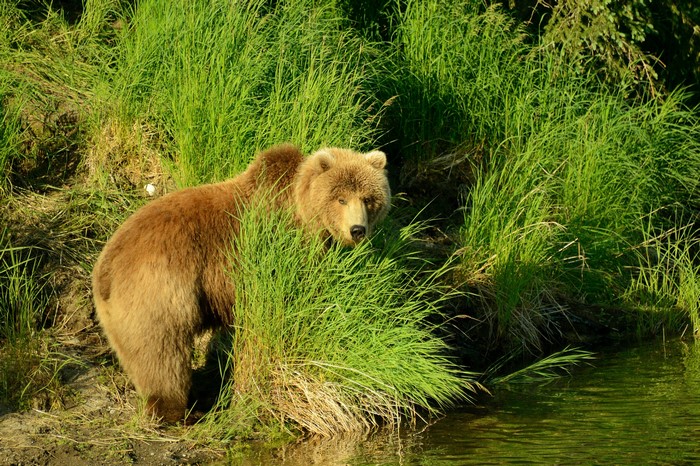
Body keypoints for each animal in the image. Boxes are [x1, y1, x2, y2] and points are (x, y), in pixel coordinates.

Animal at [92, 144, 390, 423]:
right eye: (341, 199)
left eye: (368, 198)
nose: (357, 230)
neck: (301, 208)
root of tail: (105, 267)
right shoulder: (277, 247)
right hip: (160, 288)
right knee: (162, 351)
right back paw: (178, 410)